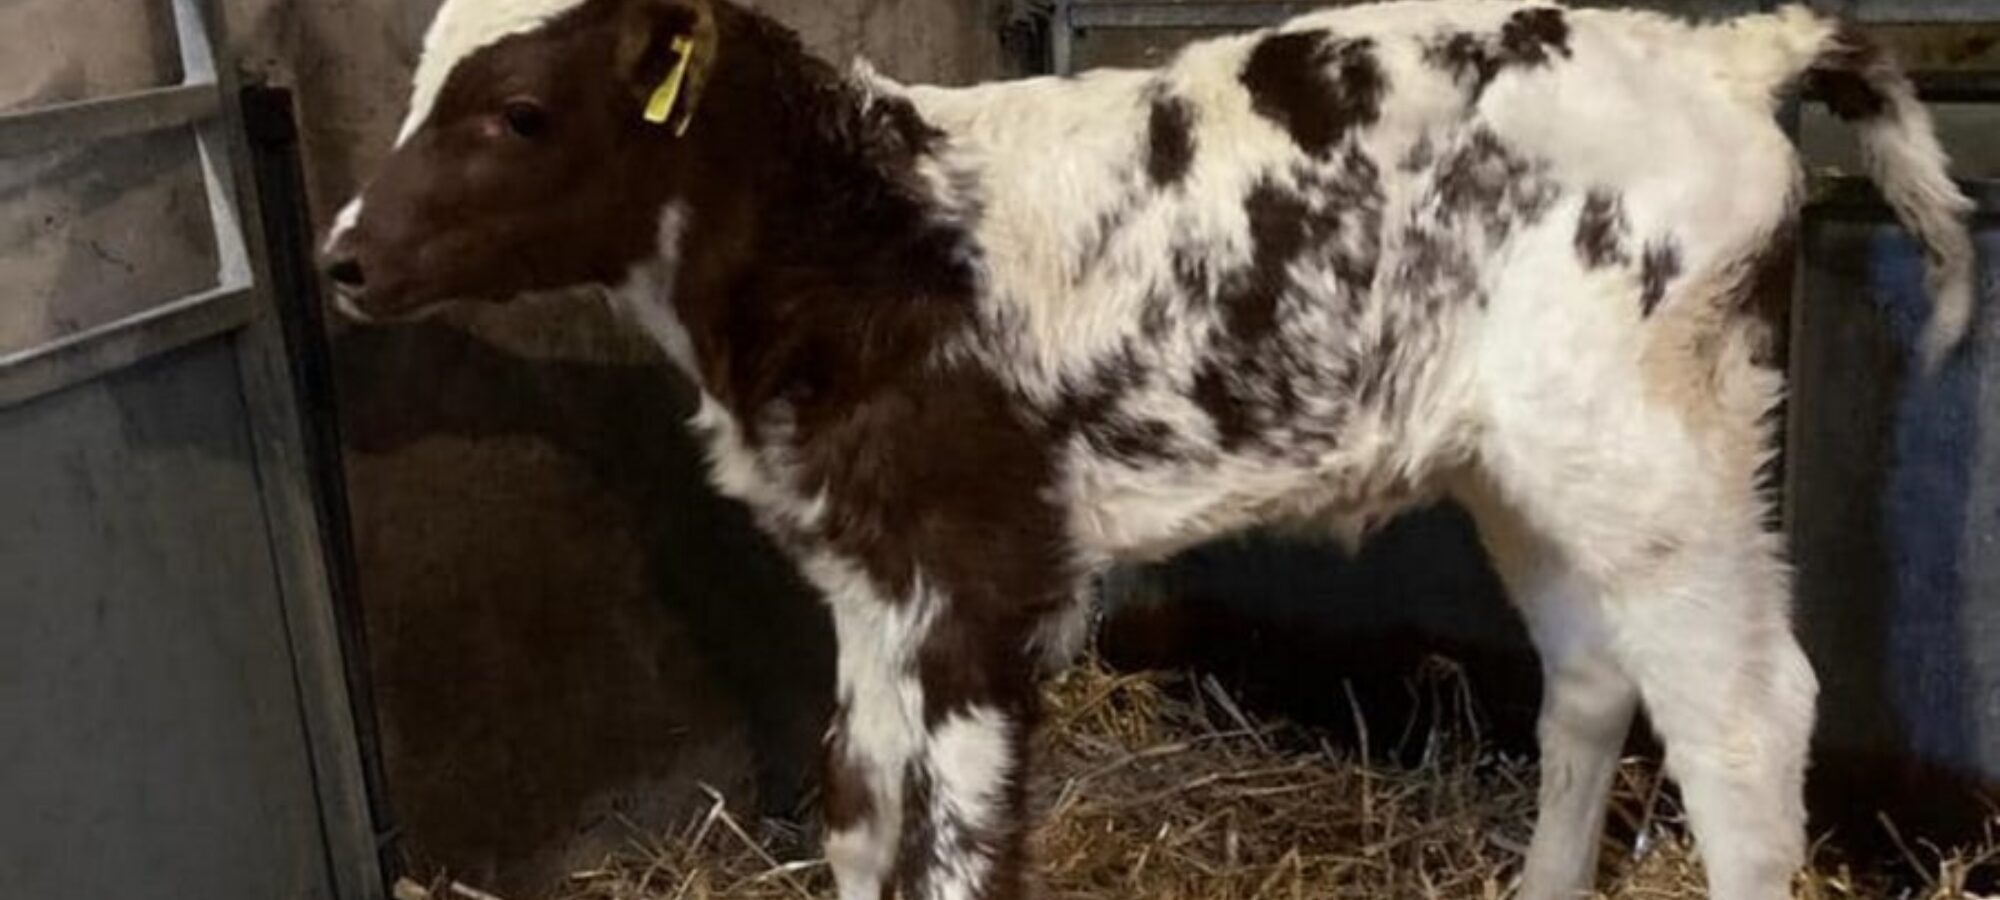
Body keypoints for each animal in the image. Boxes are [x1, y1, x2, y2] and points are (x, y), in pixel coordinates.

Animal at [321, 1, 1979, 898]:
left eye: (520, 112)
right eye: (413, 86)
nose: (339, 260)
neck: (867, 235)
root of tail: (1721, 55)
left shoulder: (987, 584)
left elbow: (954, 844)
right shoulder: (868, 572)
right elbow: (857, 811)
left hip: (1659, 440)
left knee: (1749, 719)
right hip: (1528, 463)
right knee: (1591, 678)